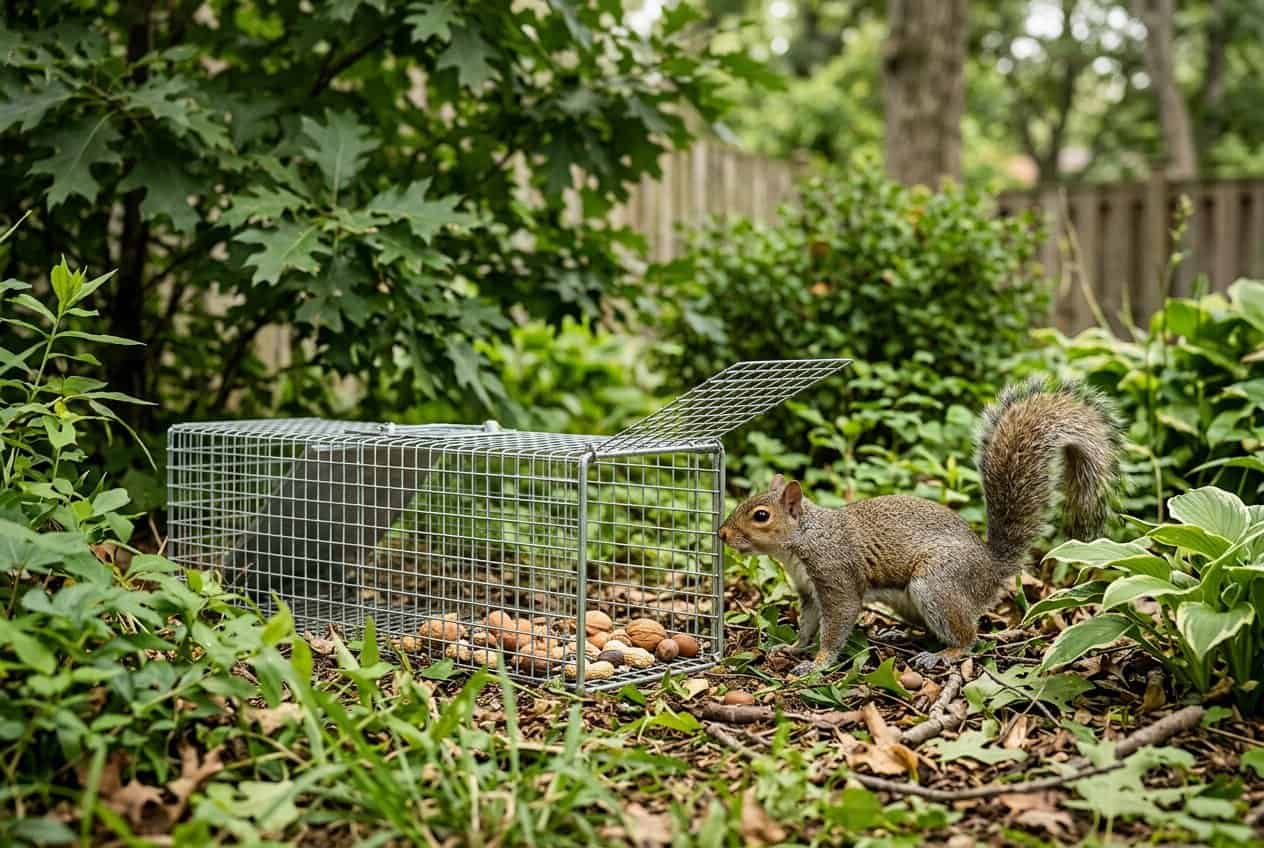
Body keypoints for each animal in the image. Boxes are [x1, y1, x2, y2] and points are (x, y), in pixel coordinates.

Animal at [718, 377, 1122, 676]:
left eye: (761, 516)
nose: (722, 534)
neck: (803, 540)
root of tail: (991, 570)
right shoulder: (807, 590)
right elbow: (807, 624)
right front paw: (793, 646)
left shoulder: (836, 576)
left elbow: (837, 623)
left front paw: (817, 664)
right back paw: (900, 633)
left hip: (936, 584)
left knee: (968, 636)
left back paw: (943, 654)